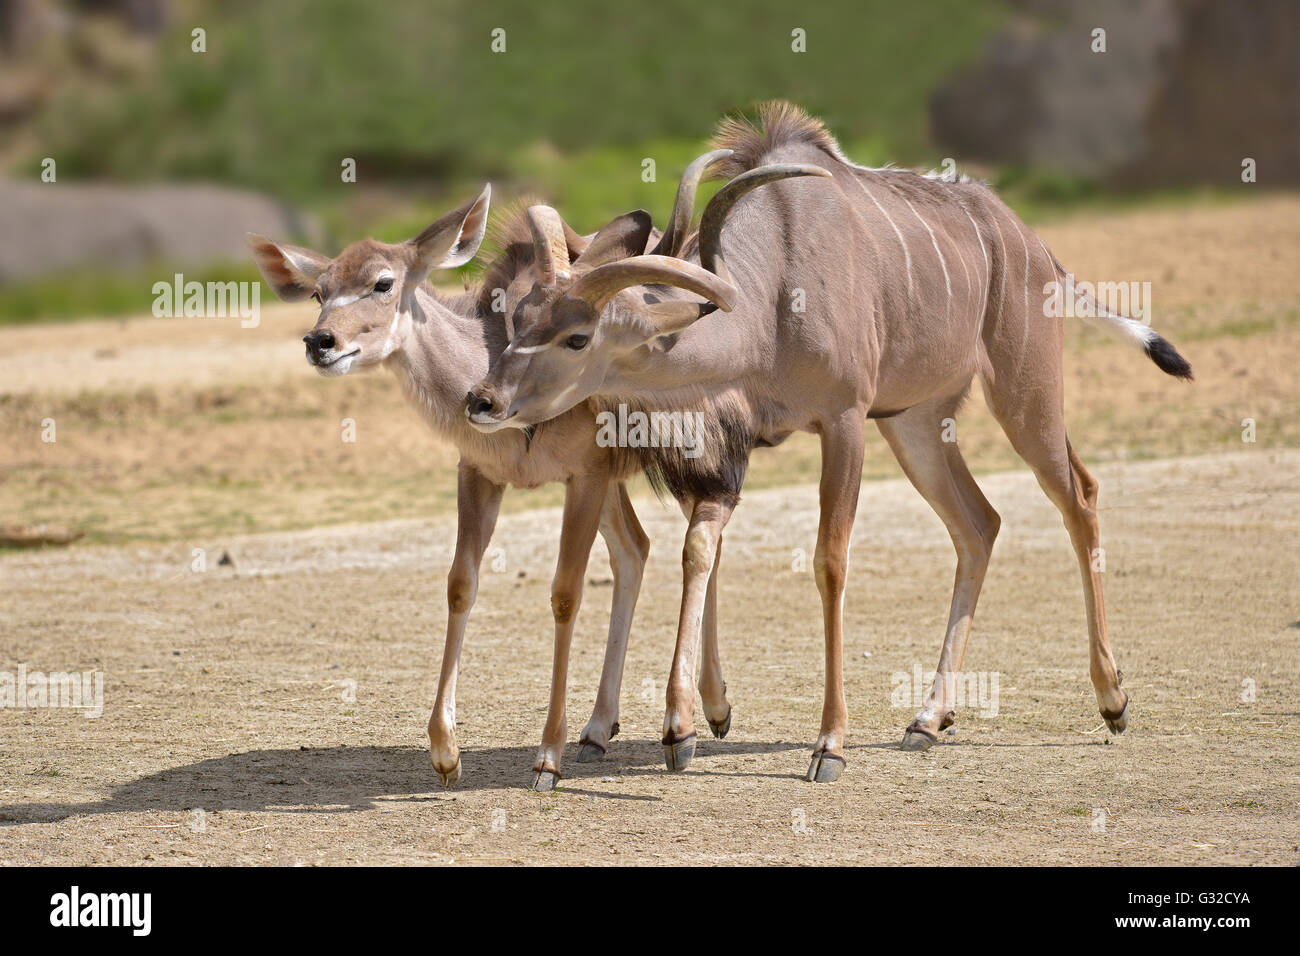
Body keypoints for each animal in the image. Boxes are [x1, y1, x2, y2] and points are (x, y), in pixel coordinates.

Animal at [246, 180, 738, 790]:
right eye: (319, 291)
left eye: (383, 282)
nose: (320, 342)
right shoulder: (479, 474)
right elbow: (462, 584)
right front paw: (445, 752)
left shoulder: (586, 475)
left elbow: (566, 593)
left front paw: (547, 756)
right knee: (642, 548)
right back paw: (605, 728)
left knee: (701, 539)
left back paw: (697, 715)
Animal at [470, 100, 1196, 785]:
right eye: (522, 315)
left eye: (578, 337)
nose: (483, 401)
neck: (774, 290)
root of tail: (1032, 242)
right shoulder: (744, 442)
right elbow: (705, 548)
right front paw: (687, 725)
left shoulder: (842, 422)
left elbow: (829, 562)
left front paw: (827, 745)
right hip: (916, 425)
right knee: (980, 523)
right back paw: (929, 718)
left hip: (1025, 398)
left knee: (1080, 496)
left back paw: (1112, 699)